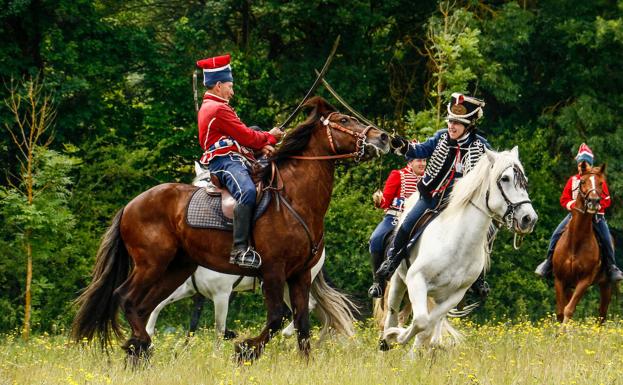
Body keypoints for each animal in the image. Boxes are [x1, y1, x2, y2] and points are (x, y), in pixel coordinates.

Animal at [143, 162, 354, 340]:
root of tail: (318, 247)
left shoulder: (221, 294)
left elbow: (219, 331)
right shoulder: (188, 289)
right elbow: (159, 306)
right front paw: (150, 334)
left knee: (307, 306)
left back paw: (284, 335)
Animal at [382, 148, 540, 352]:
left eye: (524, 180)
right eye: (505, 178)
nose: (529, 219)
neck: (459, 245)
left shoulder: (454, 296)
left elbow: (426, 326)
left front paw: (410, 347)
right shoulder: (416, 279)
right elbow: (421, 321)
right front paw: (396, 336)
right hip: (399, 279)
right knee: (392, 312)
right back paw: (385, 341)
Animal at [552, 164, 612, 322]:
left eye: (601, 183)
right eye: (583, 181)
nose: (594, 201)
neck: (576, 242)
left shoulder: (585, 280)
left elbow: (568, 310)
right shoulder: (560, 279)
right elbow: (560, 312)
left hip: (606, 285)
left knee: (602, 314)